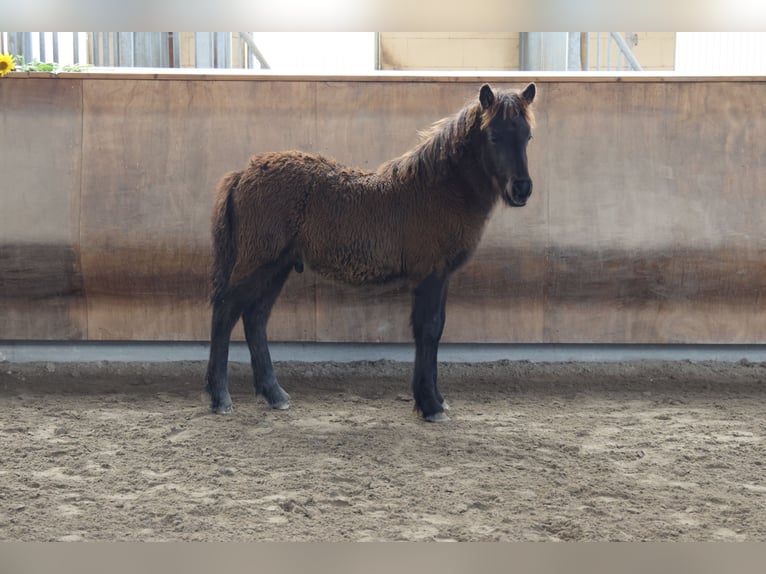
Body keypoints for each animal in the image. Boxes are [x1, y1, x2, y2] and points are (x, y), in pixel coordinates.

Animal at [205, 82, 536, 422]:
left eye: (527, 136)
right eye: (494, 135)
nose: (521, 189)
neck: (437, 190)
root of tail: (243, 173)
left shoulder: (441, 276)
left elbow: (436, 328)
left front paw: (437, 400)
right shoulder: (431, 274)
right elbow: (428, 329)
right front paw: (429, 405)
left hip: (277, 268)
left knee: (255, 318)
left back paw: (274, 394)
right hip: (257, 263)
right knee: (225, 312)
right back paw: (220, 398)